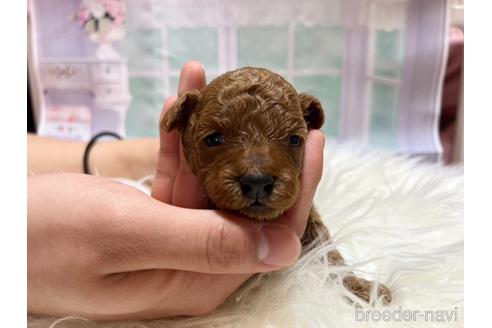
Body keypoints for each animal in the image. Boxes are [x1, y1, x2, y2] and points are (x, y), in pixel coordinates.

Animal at [161, 66, 392, 304]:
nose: (257, 182)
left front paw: (362, 289)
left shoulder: (312, 221)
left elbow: (330, 255)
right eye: (214, 139)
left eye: (294, 140)